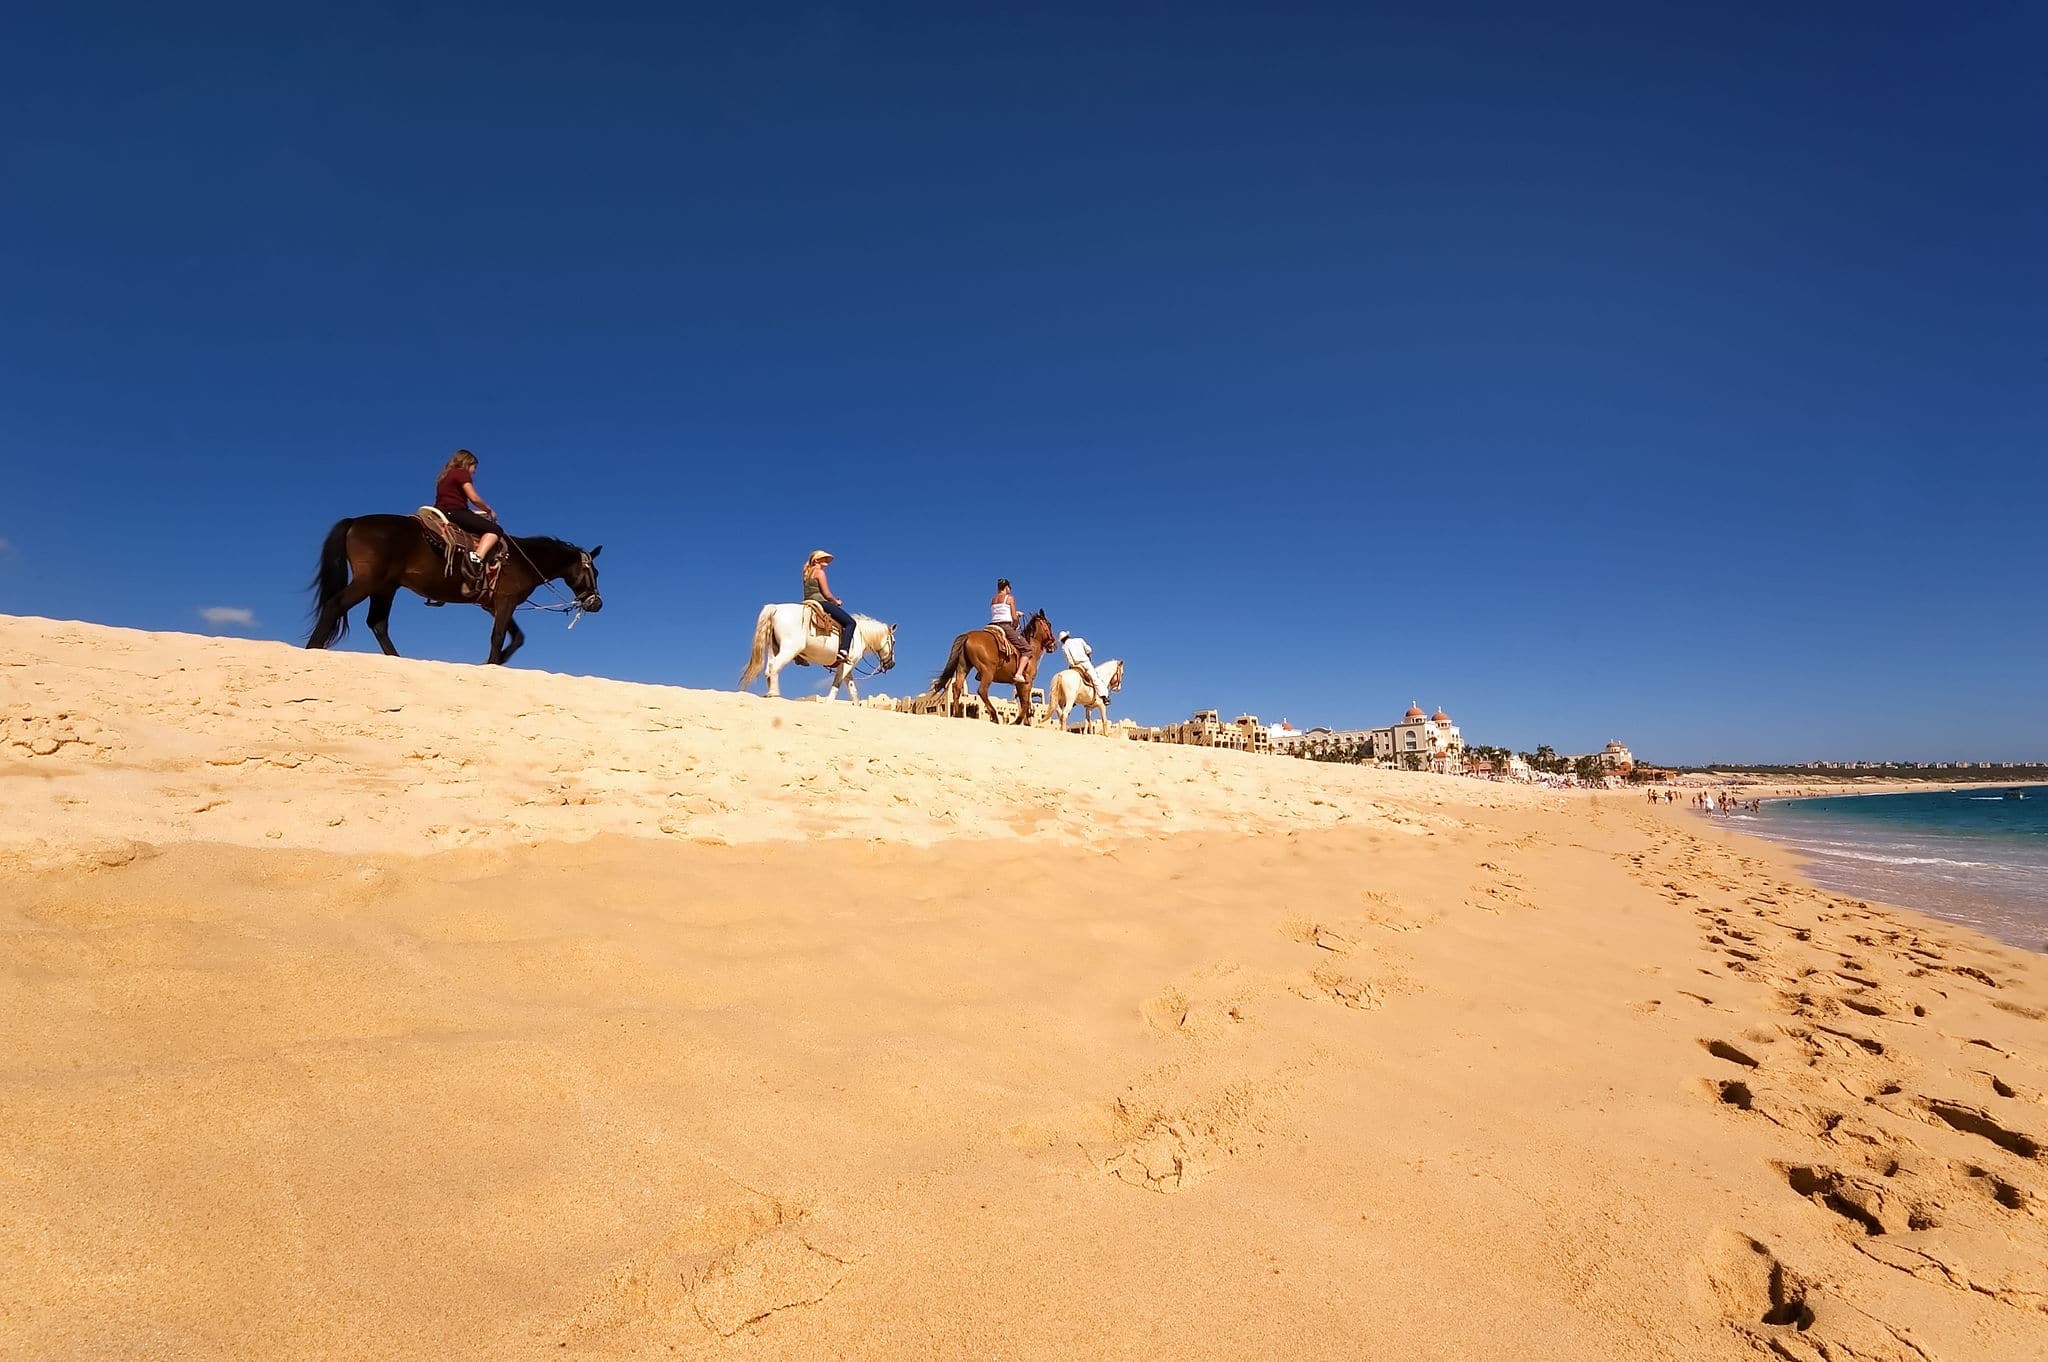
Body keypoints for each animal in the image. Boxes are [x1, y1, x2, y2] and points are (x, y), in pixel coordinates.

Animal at [305, 515, 603, 665]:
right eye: (594, 572)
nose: (596, 603)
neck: (523, 558)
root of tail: (355, 520)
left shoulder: (494, 605)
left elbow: (517, 637)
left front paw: (496, 661)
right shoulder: (505, 602)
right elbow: (498, 637)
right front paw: (492, 663)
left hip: (385, 587)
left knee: (377, 623)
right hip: (369, 582)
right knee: (336, 605)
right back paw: (312, 649)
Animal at [738, 604, 898, 701]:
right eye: (894, 641)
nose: (892, 664)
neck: (860, 634)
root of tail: (776, 608)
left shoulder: (847, 665)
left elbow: (852, 689)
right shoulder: (847, 664)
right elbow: (836, 684)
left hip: (774, 648)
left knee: (769, 669)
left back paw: (770, 693)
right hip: (790, 649)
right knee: (774, 667)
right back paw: (774, 694)